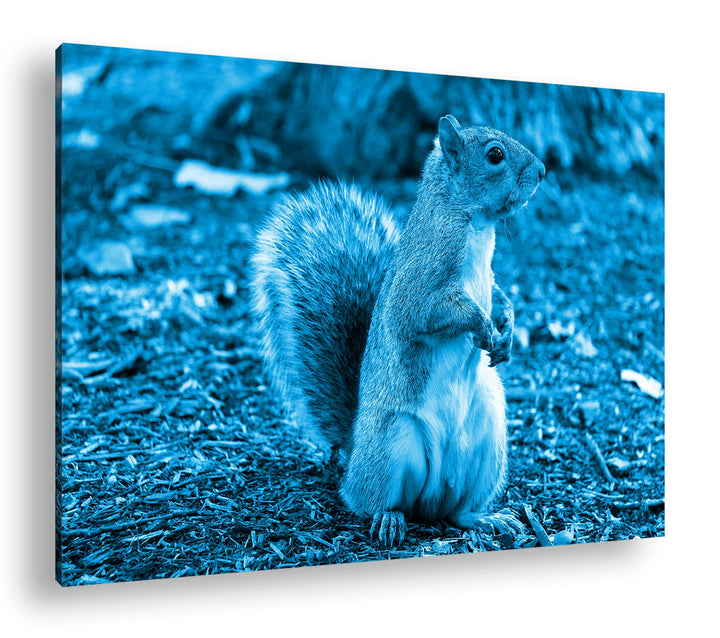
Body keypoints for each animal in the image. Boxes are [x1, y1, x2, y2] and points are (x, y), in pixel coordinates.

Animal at [250, 115, 545, 547]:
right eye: (495, 155)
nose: (542, 171)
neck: (474, 225)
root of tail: (354, 450)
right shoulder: (421, 283)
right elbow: (432, 313)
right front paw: (484, 327)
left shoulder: (487, 279)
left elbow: (498, 296)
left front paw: (506, 330)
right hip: (393, 445)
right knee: (368, 501)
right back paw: (389, 519)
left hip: (488, 443)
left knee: (457, 511)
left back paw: (486, 518)